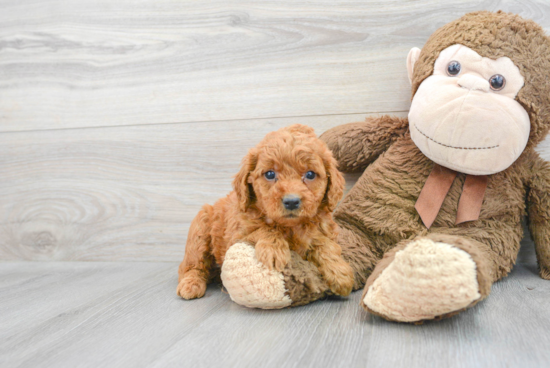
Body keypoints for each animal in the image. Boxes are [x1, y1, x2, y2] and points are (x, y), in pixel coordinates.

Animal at [179, 125, 356, 300]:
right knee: (191, 265)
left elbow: (323, 243)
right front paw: (274, 250)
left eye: (310, 174)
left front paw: (339, 272)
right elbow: (264, 228)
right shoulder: (236, 236)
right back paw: (191, 284)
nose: (291, 201)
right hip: (200, 228)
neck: (291, 227)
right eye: (270, 174)